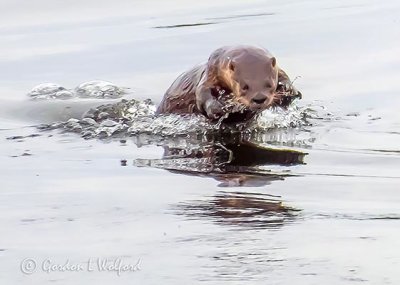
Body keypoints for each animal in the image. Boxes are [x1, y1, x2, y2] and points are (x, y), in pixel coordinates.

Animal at [156, 45, 300, 122]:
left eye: (269, 84)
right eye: (244, 86)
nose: (259, 98)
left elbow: (284, 76)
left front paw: (289, 89)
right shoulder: (211, 72)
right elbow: (202, 93)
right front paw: (216, 108)